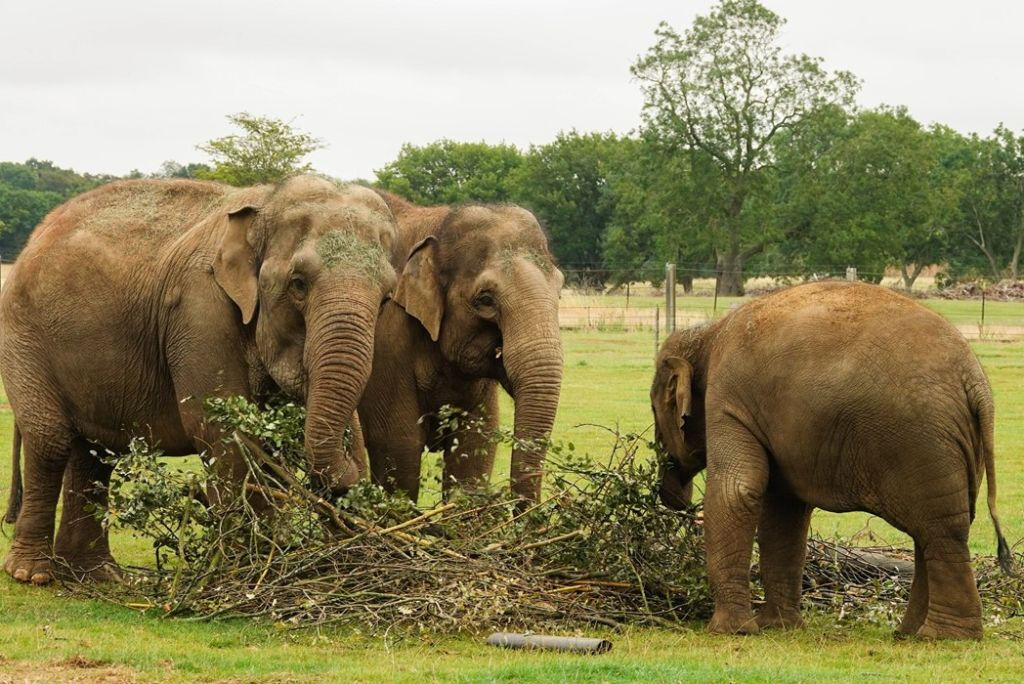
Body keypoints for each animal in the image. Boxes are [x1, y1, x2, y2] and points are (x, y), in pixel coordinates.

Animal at [2, 174, 397, 585]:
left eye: (386, 298)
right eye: (298, 284)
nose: (351, 480)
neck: (265, 202)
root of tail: (36, 235)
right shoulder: (198, 309)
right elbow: (219, 430)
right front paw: (249, 569)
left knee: (95, 453)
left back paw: (97, 575)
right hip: (22, 335)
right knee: (51, 440)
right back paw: (32, 574)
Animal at [358, 192, 569, 501]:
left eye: (559, 291)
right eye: (485, 300)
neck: (438, 222)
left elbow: (474, 450)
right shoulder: (386, 338)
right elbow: (397, 451)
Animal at [651, 278, 1011, 643]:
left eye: (655, 409)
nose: (672, 496)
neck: (710, 334)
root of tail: (975, 382)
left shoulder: (727, 397)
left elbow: (738, 491)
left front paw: (731, 631)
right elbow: (784, 510)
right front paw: (777, 627)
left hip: (923, 441)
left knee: (940, 530)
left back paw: (943, 636)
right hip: (954, 446)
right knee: (938, 529)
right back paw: (912, 633)